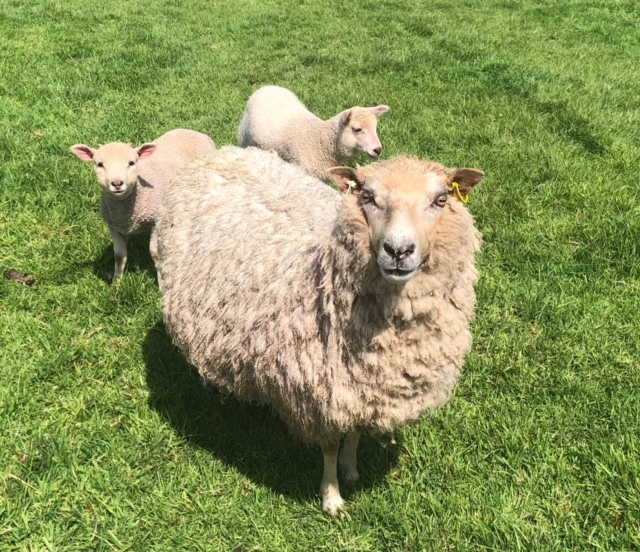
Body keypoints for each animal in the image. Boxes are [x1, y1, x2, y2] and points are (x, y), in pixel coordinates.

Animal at [70, 130, 215, 282]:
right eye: (99, 164)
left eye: (131, 163)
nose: (117, 183)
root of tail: (193, 131)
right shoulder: (113, 226)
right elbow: (119, 256)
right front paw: (116, 282)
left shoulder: (155, 222)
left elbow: (155, 254)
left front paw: (161, 281)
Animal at [156, 146, 484, 512]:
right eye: (368, 196)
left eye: (440, 199)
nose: (398, 250)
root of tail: (221, 154)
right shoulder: (318, 396)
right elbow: (329, 448)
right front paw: (332, 497)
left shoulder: (360, 388)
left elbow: (354, 434)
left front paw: (351, 469)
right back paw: (208, 380)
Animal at [236, 85, 390, 179]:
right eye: (357, 129)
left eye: (375, 128)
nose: (378, 150)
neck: (320, 139)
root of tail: (267, 87)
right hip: (245, 138)